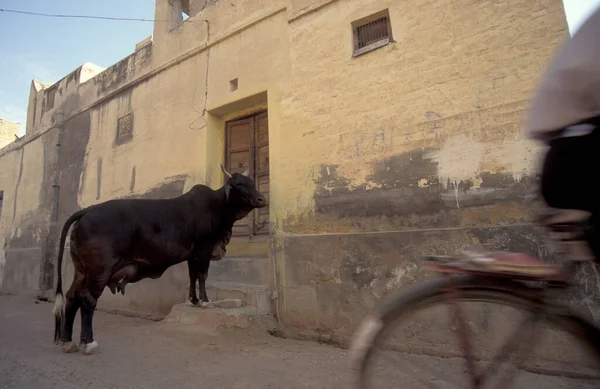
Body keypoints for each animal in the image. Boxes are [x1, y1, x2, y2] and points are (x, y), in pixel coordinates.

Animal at [50, 165, 266, 354]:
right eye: (239, 184)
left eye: (251, 182)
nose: (261, 198)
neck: (217, 205)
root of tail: (87, 211)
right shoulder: (204, 249)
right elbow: (202, 275)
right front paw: (205, 301)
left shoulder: (192, 255)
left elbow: (192, 276)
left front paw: (194, 300)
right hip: (99, 270)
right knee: (87, 299)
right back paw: (89, 343)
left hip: (81, 271)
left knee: (71, 297)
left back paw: (67, 341)